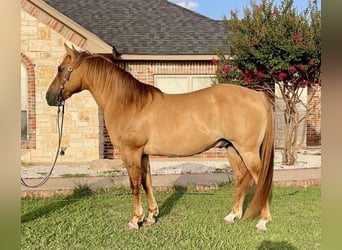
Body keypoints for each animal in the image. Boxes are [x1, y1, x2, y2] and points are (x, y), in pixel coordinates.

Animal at [46, 43, 276, 232]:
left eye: (60, 68)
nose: (49, 97)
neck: (129, 103)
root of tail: (259, 96)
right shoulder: (143, 154)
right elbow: (147, 182)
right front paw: (150, 217)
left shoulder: (131, 152)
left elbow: (134, 184)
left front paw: (135, 220)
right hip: (232, 149)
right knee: (242, 178)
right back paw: (232, 215)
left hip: (247, 151)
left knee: (260, 179)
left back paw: (262, 221)